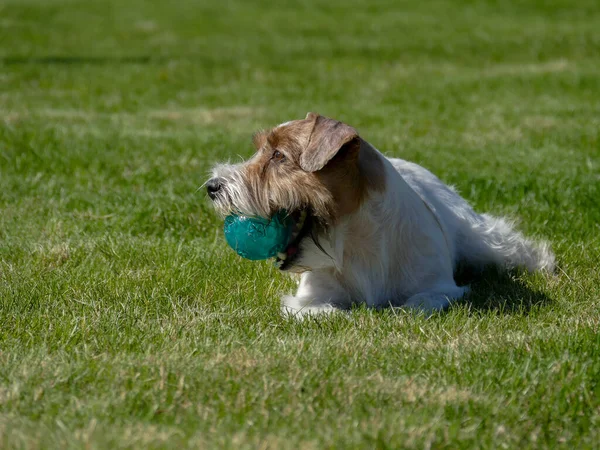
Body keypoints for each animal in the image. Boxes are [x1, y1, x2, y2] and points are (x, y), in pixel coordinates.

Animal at [205, 112, 552, 316]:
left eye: (278, 155)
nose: (212, 186)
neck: (354, 241)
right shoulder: (307, 300)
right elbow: (326, 310)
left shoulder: (441, 288)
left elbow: (418, 304)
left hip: (479, 240)